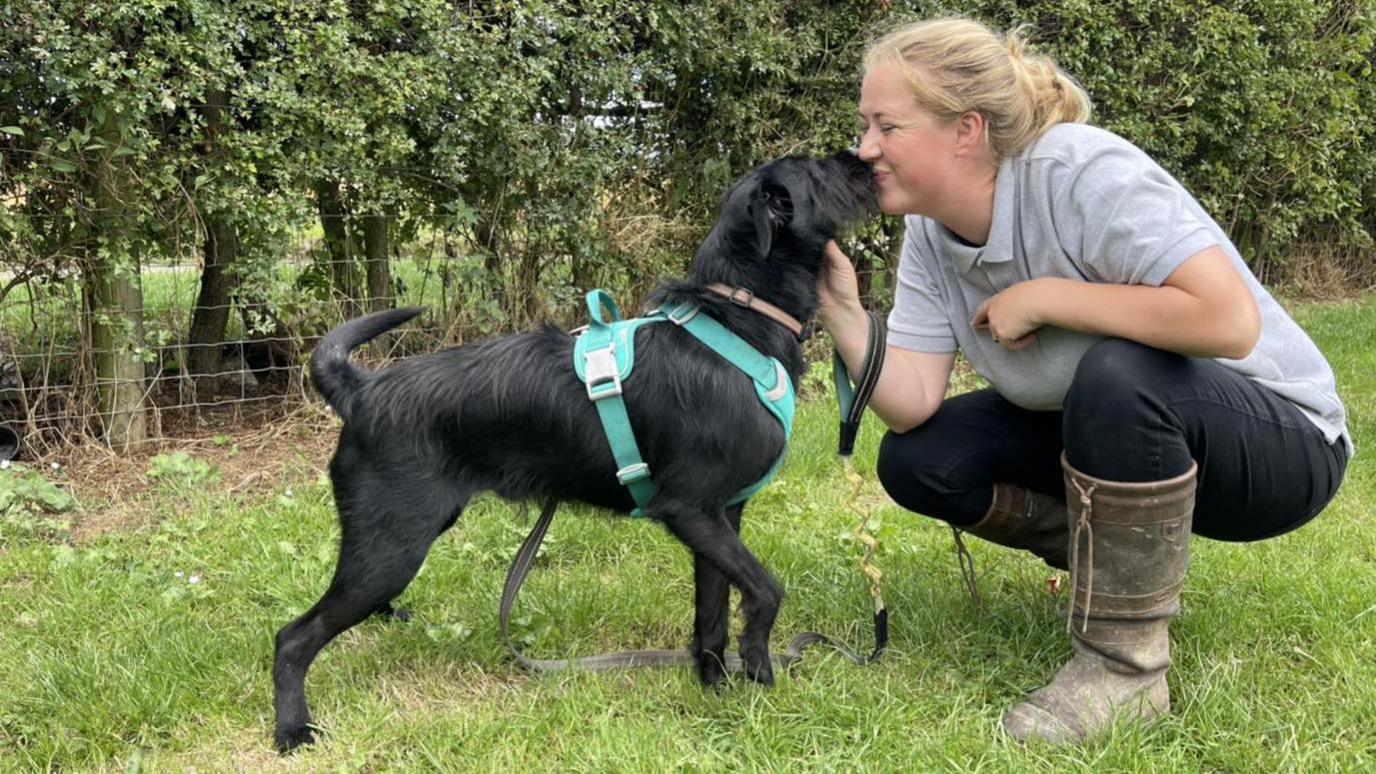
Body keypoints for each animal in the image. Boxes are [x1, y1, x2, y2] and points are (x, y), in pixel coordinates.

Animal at [271, 150, 869, 749]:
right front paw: (760, 669)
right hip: (389, 549)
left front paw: (715, 686)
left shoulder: (720, 519)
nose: (860, 157)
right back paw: (292, 729)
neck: (738, 324)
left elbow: (712, 613)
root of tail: (361, 390)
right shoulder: (690, 511)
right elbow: (766, 591)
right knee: (293, 637)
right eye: (818, 170)